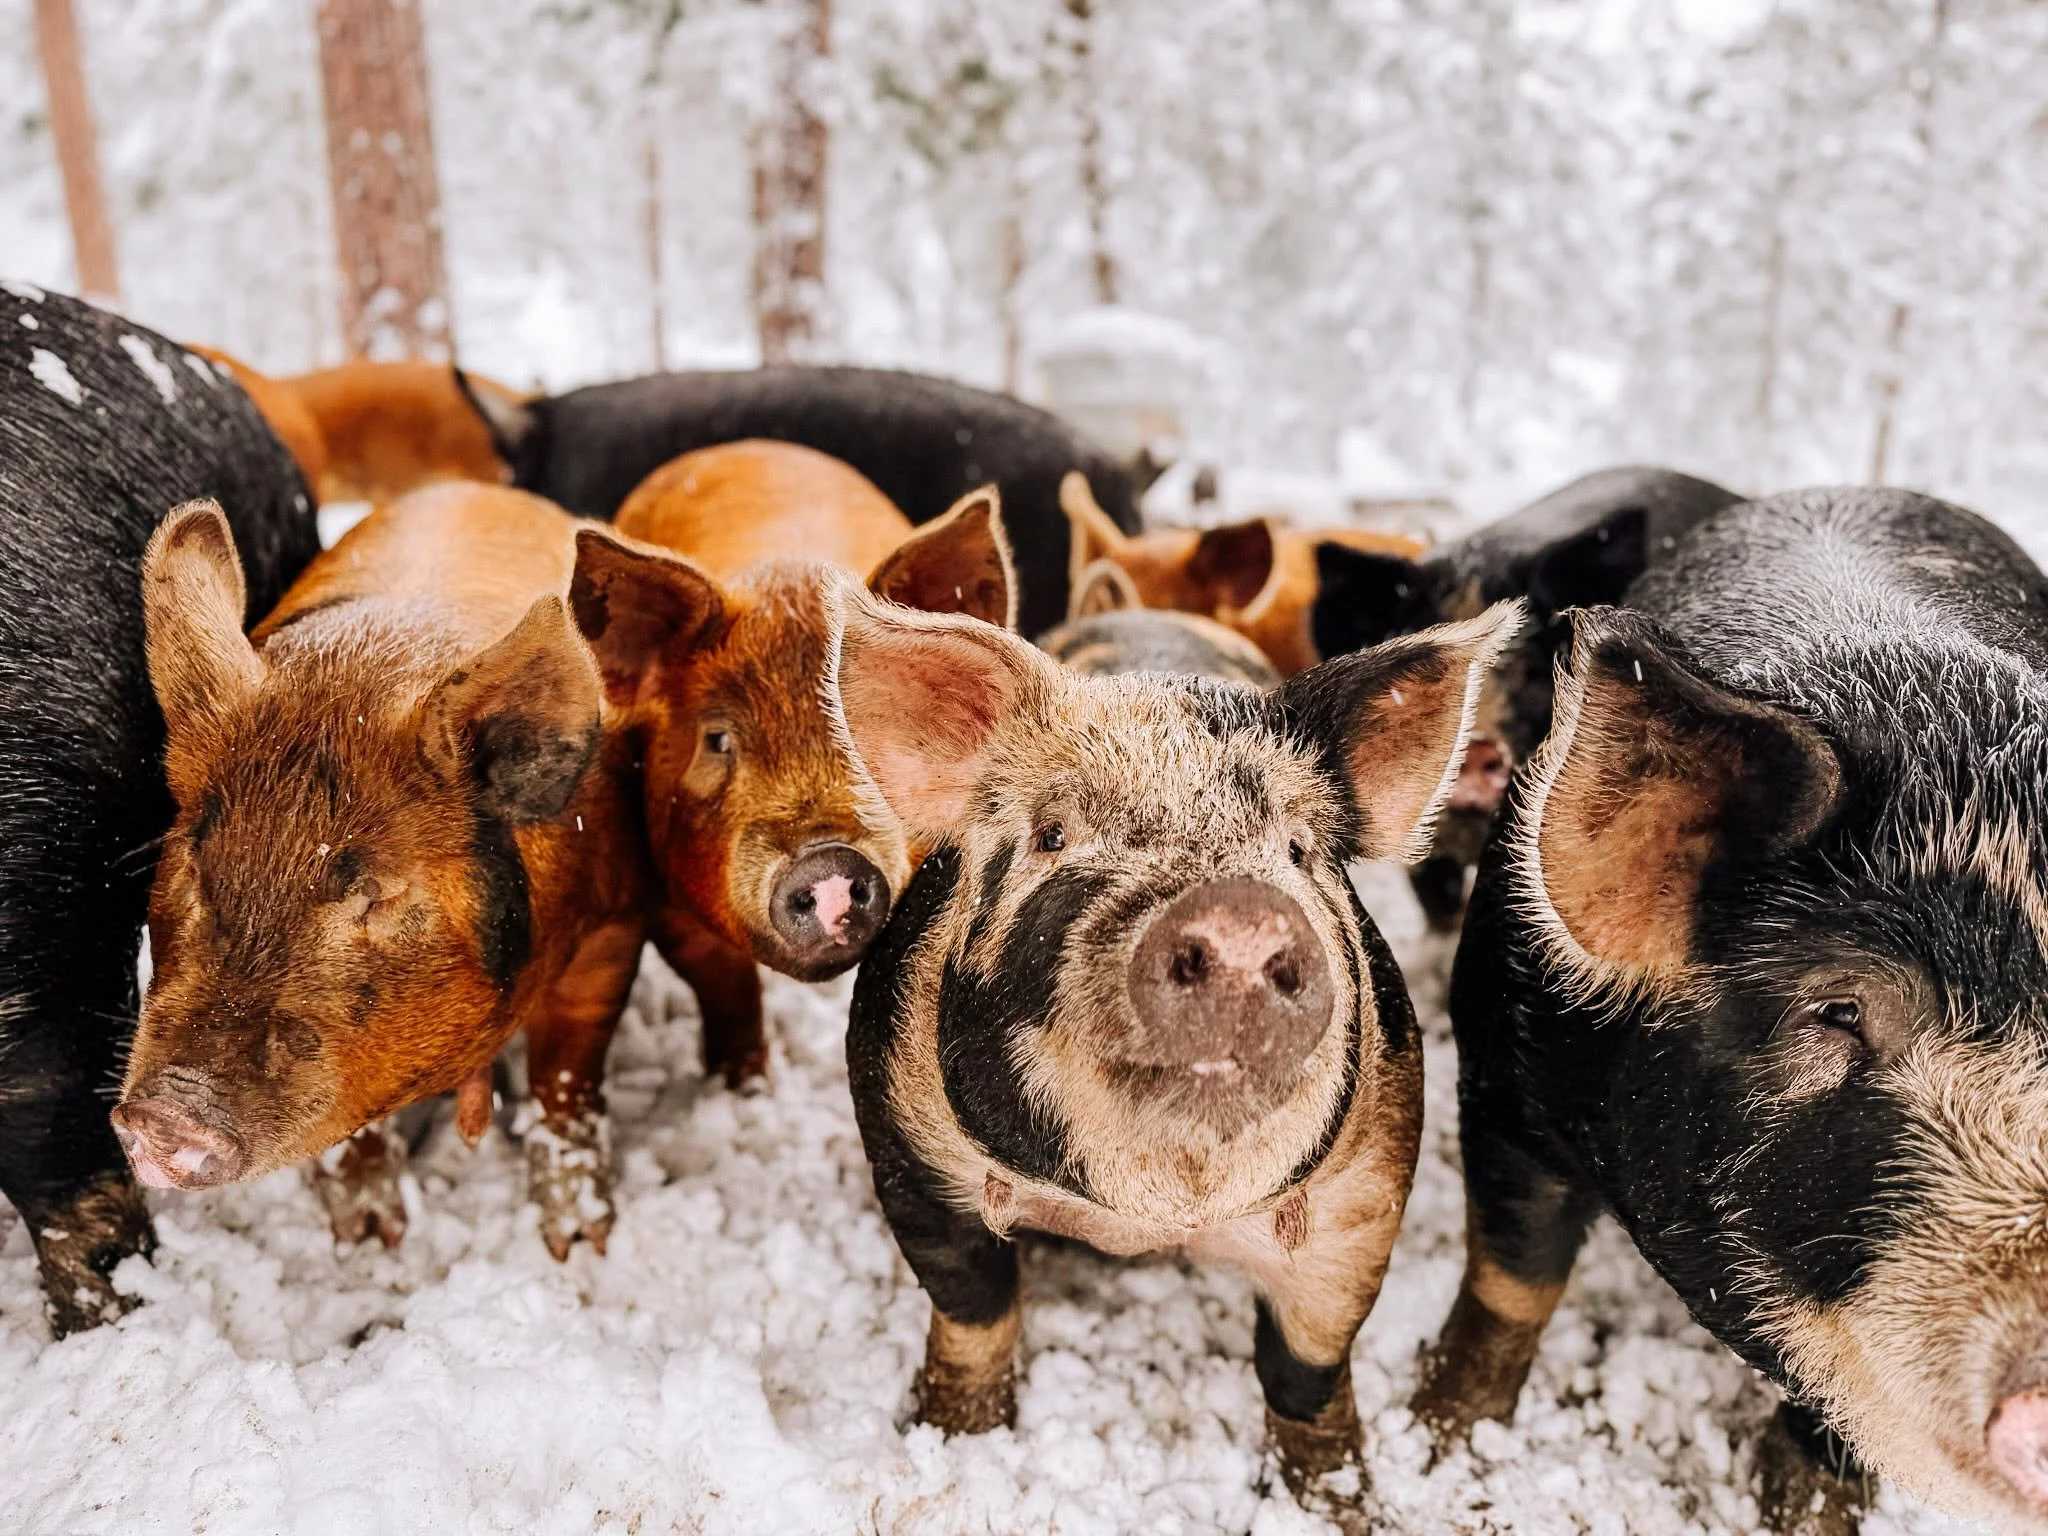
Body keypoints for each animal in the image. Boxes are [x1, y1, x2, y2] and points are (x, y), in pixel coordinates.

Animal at [113, 483, 648, 1260]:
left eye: (376, 892)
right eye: (198, 855)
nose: (165, 1116)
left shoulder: (616, 920)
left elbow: (567, 1074)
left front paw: (581, 1245)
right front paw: (370, 1243)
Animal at [829, 578, 1523, 1527]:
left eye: (1299, 850)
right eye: (1052, 834)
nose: (1239, 915)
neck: (1143, 1218)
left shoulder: (1369, 1185)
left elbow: (1307, 1367)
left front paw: (1344, 1510)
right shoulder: (904, 1144)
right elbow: (975, 1312)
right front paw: (953, 1441)